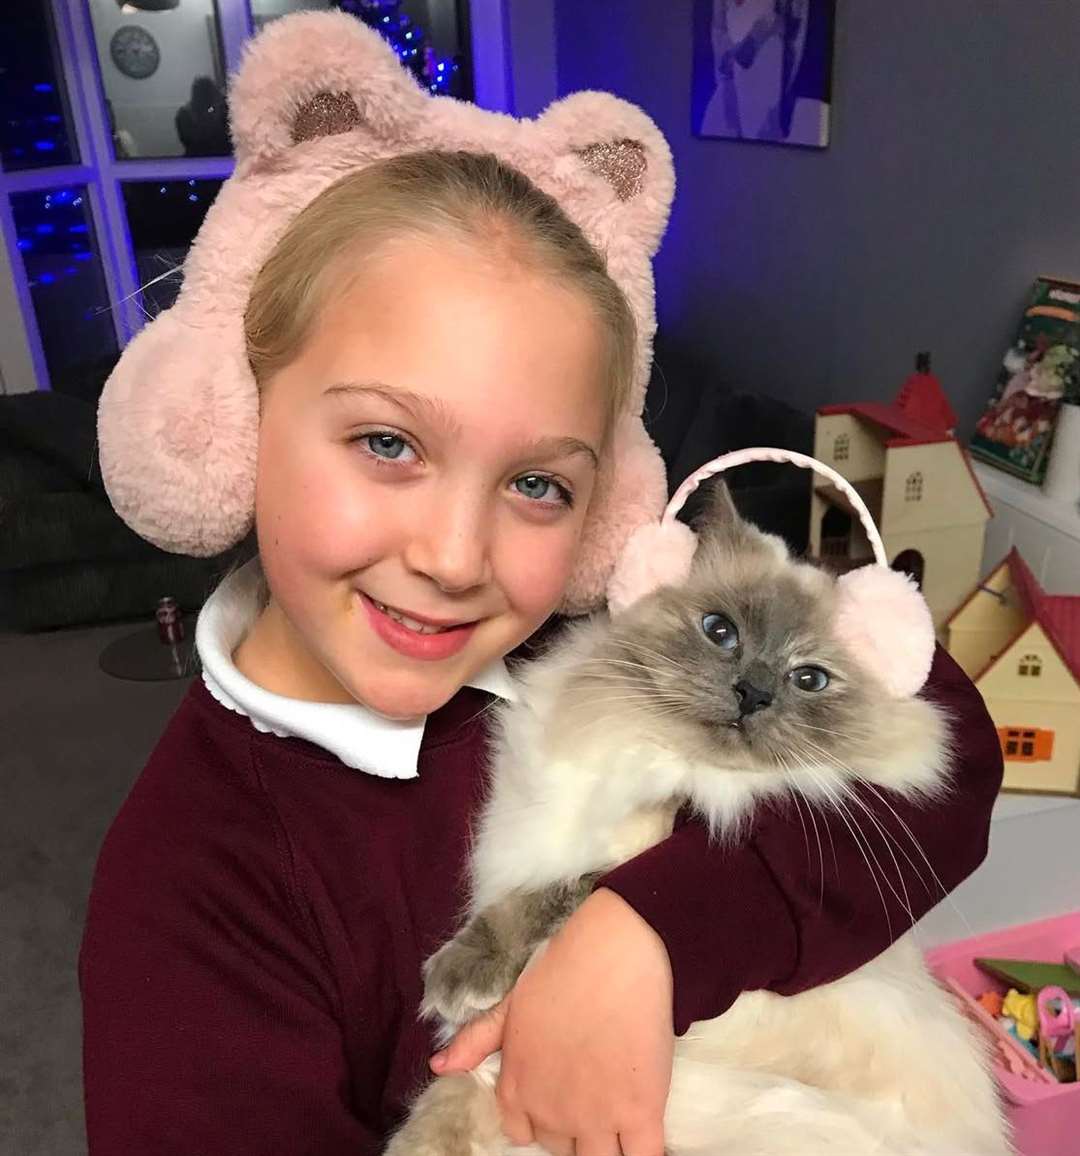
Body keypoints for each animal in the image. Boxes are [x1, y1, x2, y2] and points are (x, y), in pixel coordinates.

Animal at [390, 480, 1012, 1156]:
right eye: (721, 631)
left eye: (809, 679)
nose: (753, 694)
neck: (643, 751)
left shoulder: (614, 867)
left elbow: (555, 895)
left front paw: (455, 983)